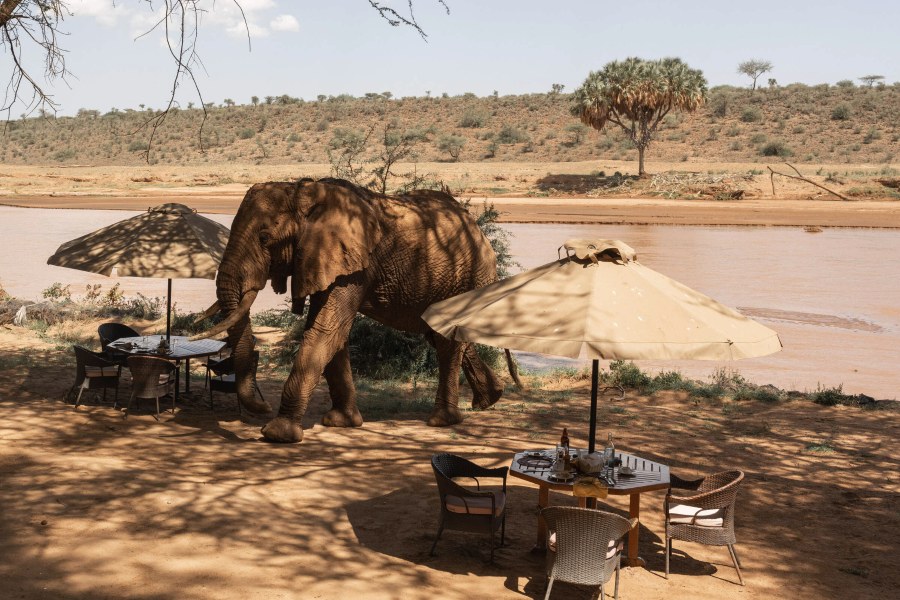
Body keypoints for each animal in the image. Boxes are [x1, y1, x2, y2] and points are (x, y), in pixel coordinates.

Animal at [193, 177, 506, 443]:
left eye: (265, 237)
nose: (263, 406)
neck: (304, 191)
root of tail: (476, 227)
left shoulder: (352, 266)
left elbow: (326, 329)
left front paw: (277, 434)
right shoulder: (325, 260)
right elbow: (333, 333)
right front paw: (341, 422)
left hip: (465, 278)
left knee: (446, 342)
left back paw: (442, 420)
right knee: (440, 337)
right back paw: (490, 399)